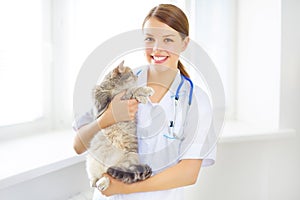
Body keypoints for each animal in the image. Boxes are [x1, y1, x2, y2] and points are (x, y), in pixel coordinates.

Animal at [86, 60, 152, 191]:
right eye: (131, 72)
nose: (137, 76)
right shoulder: (101, 105)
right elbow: (131, 89)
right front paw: (144, 91)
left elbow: (131, 90)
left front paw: (143, 95)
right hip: (90, 160)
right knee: (100, 175)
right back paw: (96, 182)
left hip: (128, 159)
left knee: (109, 174)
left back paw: (102, 182)